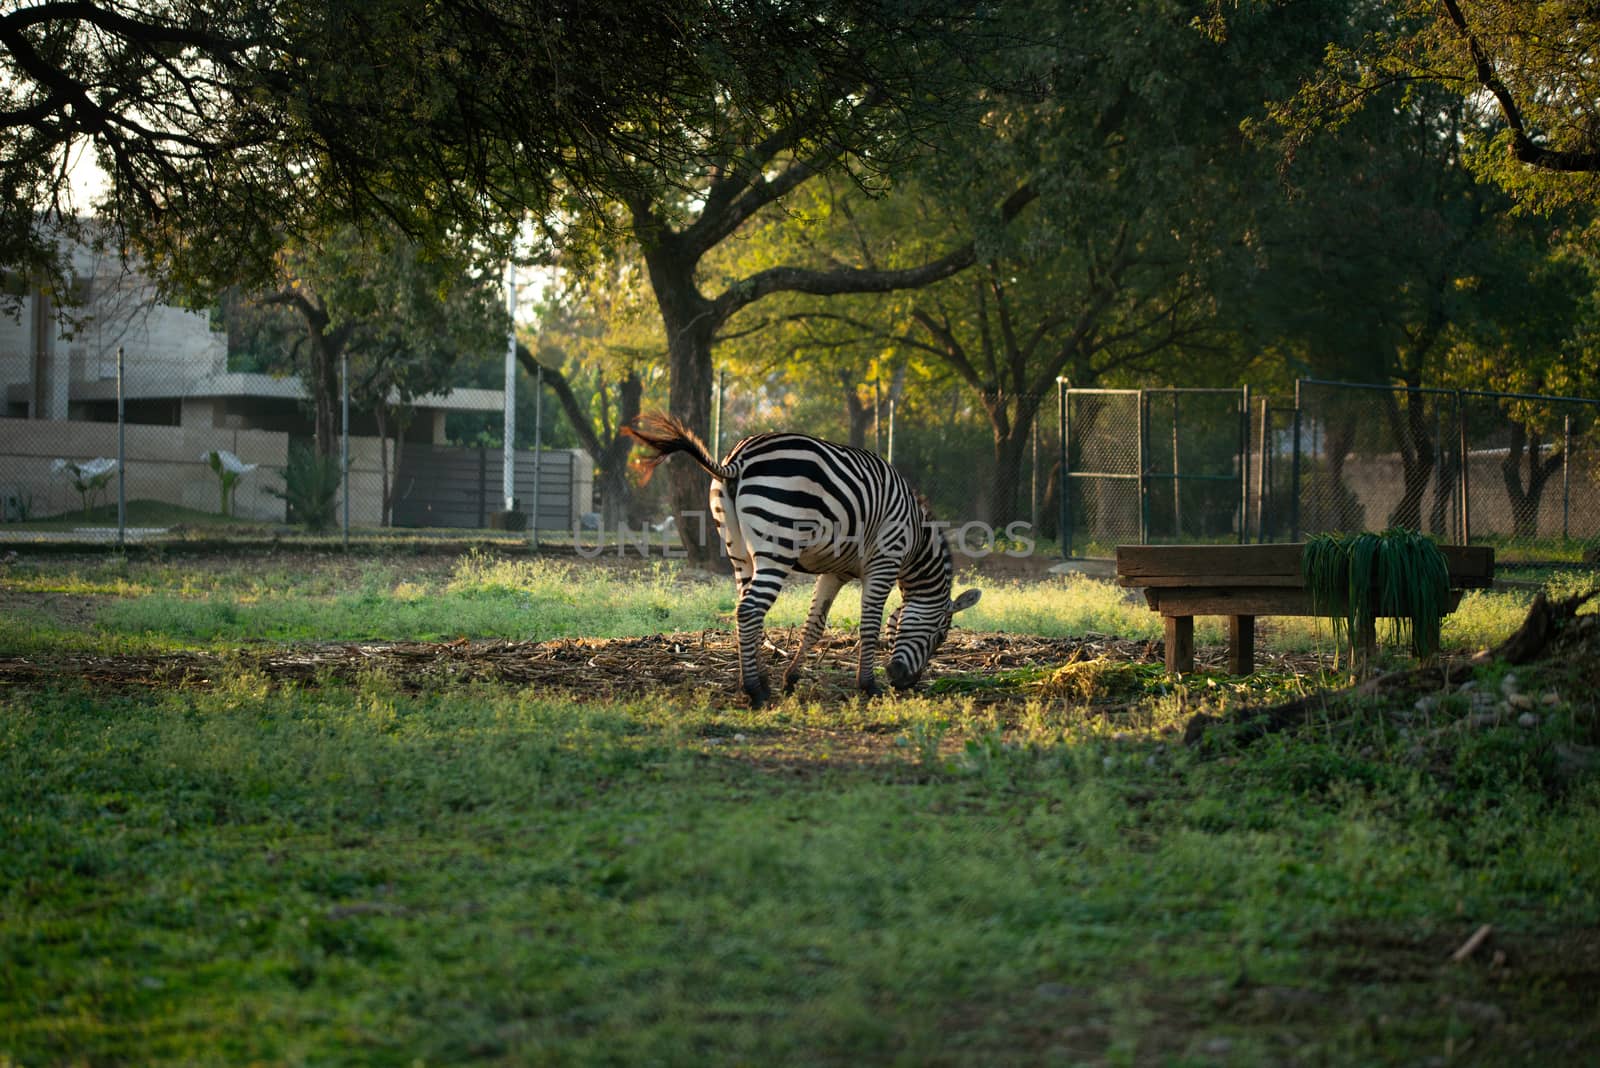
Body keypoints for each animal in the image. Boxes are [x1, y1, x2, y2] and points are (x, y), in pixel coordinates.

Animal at [620, 412, 972, 703]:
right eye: (940, 636)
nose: (905, 683)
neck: (916, 541)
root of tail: (738, 459)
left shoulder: (836, 571)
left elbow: (813, 625)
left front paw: (791, 677)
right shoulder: (884, 561)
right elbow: (869, 624)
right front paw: (868, 685)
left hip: (738, 550)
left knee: (746, 608)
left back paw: (757, 679)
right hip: (778, 544)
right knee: (749, 610)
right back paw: (756, 691)